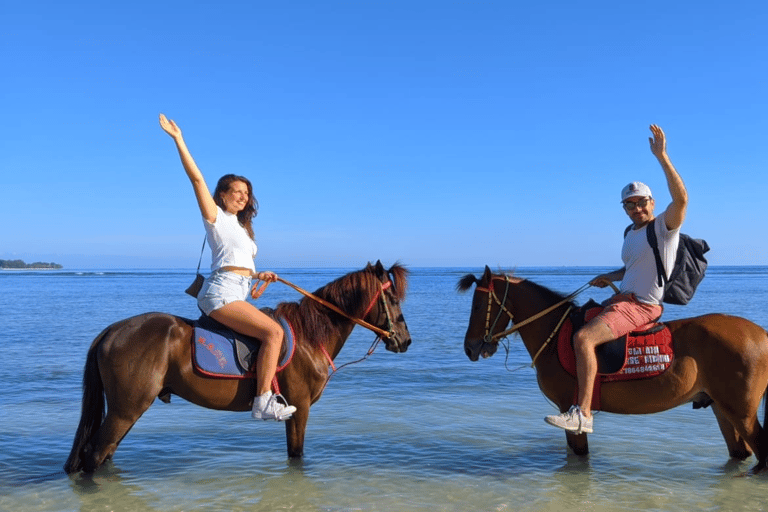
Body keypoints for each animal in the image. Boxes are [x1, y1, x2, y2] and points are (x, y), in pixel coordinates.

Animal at [64, 262, 414, 474]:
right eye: (394, 299)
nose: (405, 340)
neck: (310, 337)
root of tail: (112, 330)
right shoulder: (299, 409)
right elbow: (297, 455)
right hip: (126, 409)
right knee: (94, 454)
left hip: (126, 409)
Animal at [460, 268, 768, 472]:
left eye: (478, 305)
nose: (470, 348)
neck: (555, 333)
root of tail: (762, 333)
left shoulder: (568, 407)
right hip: (721, 408)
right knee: (740, 452)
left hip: (741, 412)